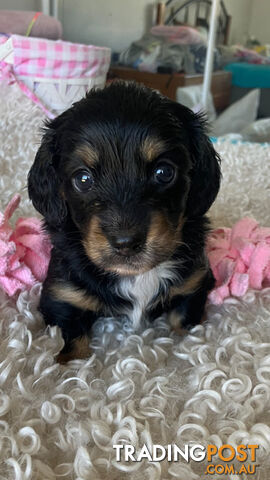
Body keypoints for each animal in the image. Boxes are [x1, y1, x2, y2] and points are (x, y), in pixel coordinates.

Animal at [28, 81, 221, 360]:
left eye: (164, 172)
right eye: (83, 179)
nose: (126, 243)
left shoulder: (195, 284)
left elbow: (185, 328)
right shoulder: (62, 299)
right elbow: (69, 351)